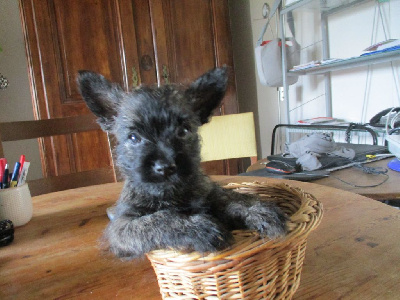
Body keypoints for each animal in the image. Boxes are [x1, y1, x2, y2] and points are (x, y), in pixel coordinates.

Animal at [76, 67, 286, 258]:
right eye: (134, 137)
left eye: (183, 131)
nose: (165, 168)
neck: (172, 194)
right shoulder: (122, 227)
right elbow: (158, 219)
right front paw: (200, 229)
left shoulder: (211, 196)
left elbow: (231, 203)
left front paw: (259, 212)